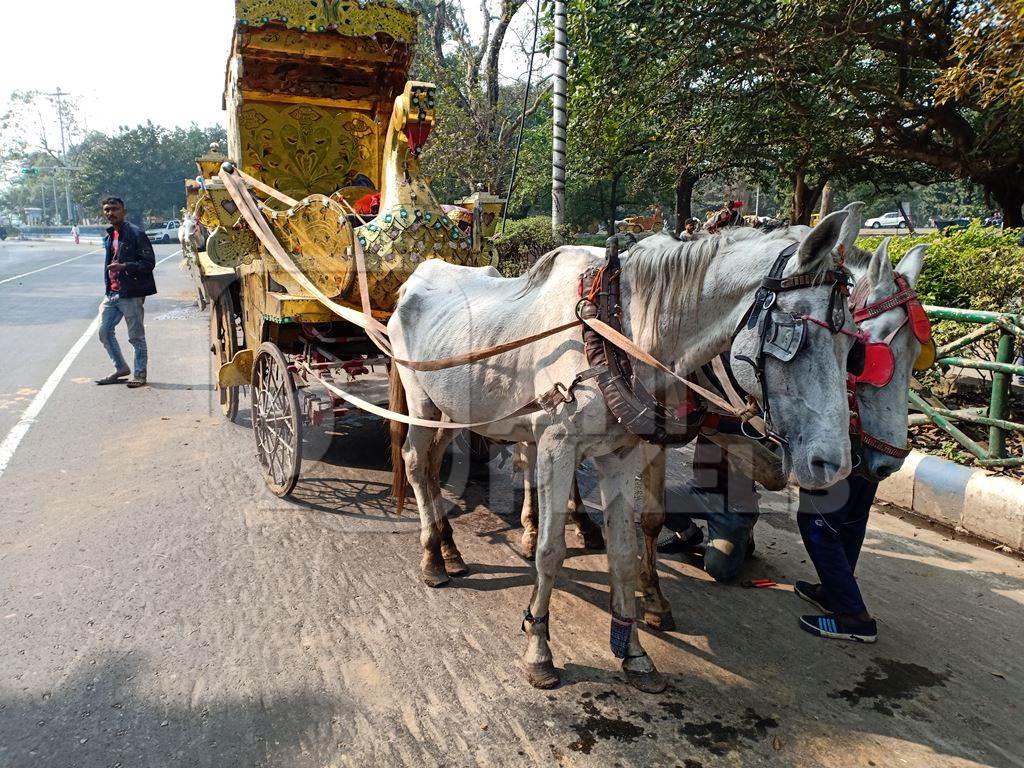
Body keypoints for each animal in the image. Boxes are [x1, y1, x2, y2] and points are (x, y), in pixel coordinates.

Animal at [387, 208, 860, 692]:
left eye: (853, 343)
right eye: (791, 335)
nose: (834, 463)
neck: (615, 333)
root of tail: (417, 276)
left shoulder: (620, 453)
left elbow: (623, 553)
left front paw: (633, 649)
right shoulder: (557, 446)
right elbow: (550, 552)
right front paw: (538, 648)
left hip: (455, 410)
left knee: (433, 463)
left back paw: (449, 548)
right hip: (421, 398)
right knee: (415, 462)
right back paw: (433, 558)